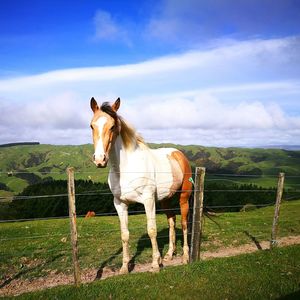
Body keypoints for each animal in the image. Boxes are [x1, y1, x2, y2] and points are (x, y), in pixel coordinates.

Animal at [89, 97, 192, 274]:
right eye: (91, 125)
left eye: (113, 126)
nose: (100, 160)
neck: (126, 169)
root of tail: (179, 154)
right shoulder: (120, 204)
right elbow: (124, 234)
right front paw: (124, 267)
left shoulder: (148, 200)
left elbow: (152, 230)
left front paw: (155, 264)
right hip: (165, 199)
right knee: (172, 221)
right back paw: (169, 255)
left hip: (184, 197)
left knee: (184, 223)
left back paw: (185, 257)